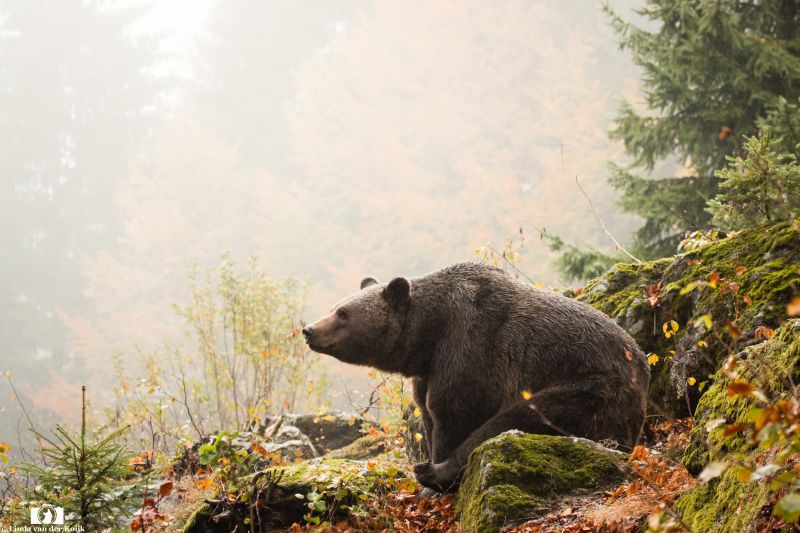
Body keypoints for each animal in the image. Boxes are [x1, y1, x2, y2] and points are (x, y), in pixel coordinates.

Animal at [303, 262, 650, 492]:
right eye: (335, 307)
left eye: (343, 314)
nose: (308, 330)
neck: (429, 335)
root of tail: (641, 361)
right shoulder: (427, 371)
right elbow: (427, 414)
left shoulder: (471, 346)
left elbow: (455, 410)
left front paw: (436, 469)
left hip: (593, 388)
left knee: (523, 416)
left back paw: (431, 472)